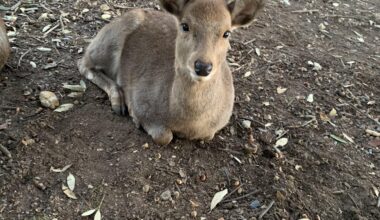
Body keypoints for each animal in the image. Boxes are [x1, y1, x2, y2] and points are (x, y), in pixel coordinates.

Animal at [78, 0, 264, 146]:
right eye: (185, 26)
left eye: (227, 33)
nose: (203, 66)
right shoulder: (142, 101)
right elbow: (164, 136)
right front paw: (134, 115)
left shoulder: (215, 126)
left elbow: (207, 135)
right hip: (110, 39)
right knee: (83, 63)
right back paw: (119, 101)